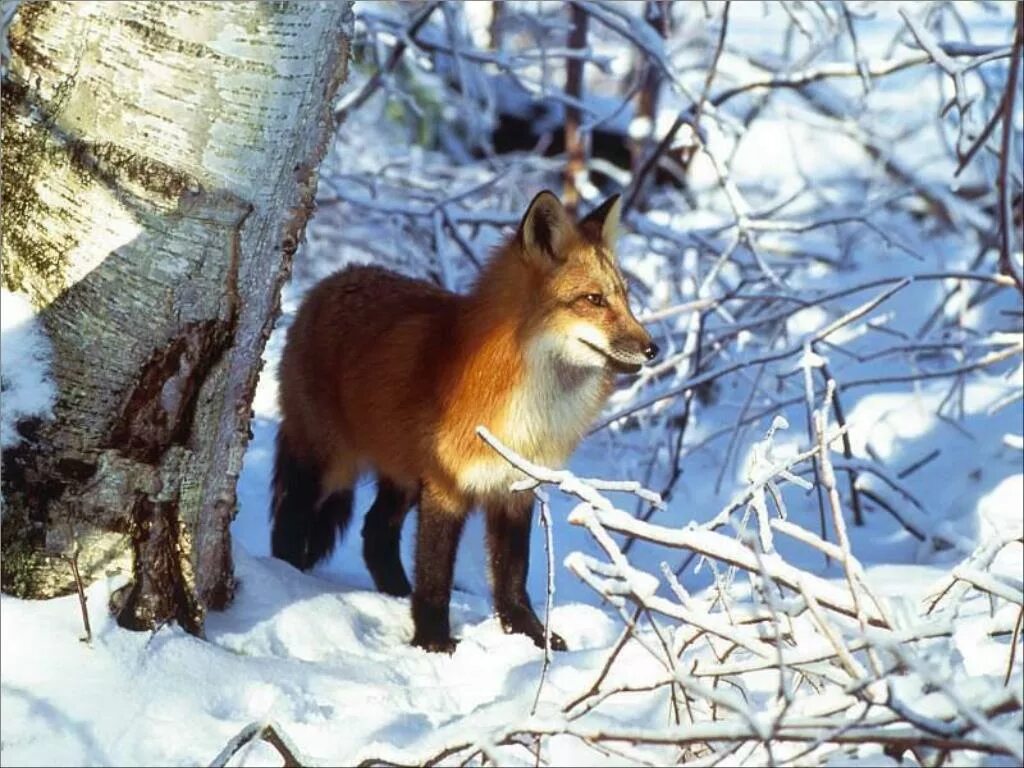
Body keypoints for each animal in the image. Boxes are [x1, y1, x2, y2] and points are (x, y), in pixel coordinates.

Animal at [272, 189, 655, 651]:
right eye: (594, 300)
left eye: (625, 298)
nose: (653, 349)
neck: (527, 404)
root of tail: (333, 279)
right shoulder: (446, 485)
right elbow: (436, 574)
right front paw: (433, 642)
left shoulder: (516, 487)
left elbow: (512, 574)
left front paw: (529, 635)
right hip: (330, 464)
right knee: (292, 523)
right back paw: (286, 579)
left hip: (401, 478)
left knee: (375, 534)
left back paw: (395, 594)